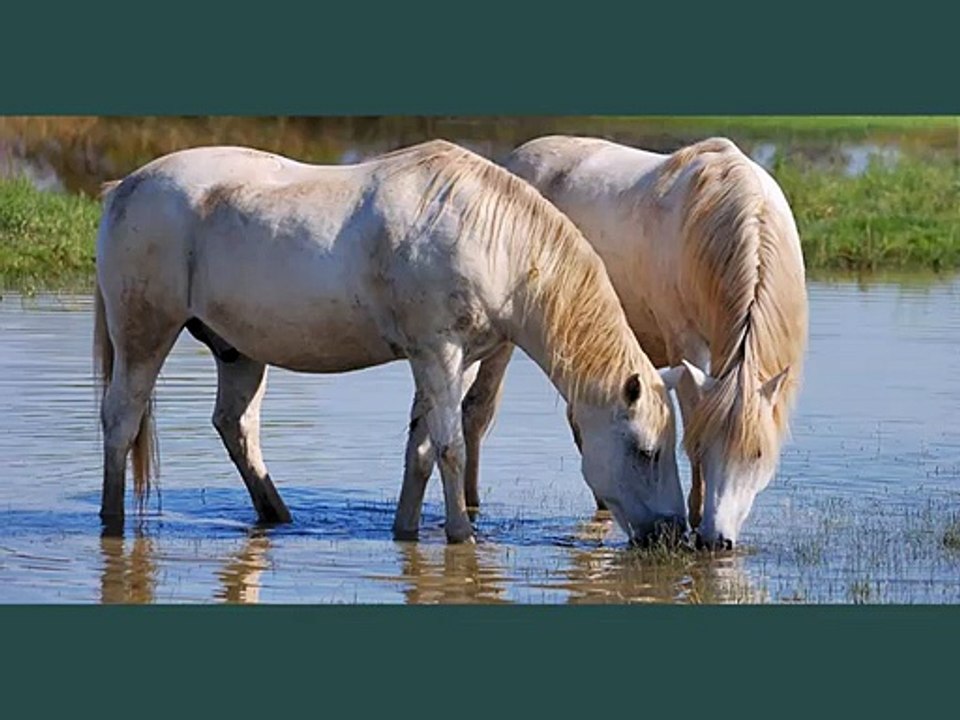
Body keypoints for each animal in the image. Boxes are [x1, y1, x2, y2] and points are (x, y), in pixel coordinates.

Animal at [93, 139, 688, 545]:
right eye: (645, 451)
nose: (671, 534)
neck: (492, 240)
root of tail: (123, 188)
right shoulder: (438, 353)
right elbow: (449, 446)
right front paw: (460, 535)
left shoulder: (450, 361)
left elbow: (420, 448)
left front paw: (406, 530)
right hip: (144, 334)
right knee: (121, 421)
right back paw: (112, 522)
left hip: (238, 352)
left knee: (236, 427)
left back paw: (277, 516)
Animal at [450, 136, 808, 549]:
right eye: (703, 447)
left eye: (759, 454)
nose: (715, 541)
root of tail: (513, 159)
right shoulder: (687, 345)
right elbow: (692, 417)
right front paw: (695, 515)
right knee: (477, 411)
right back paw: (472, 506)